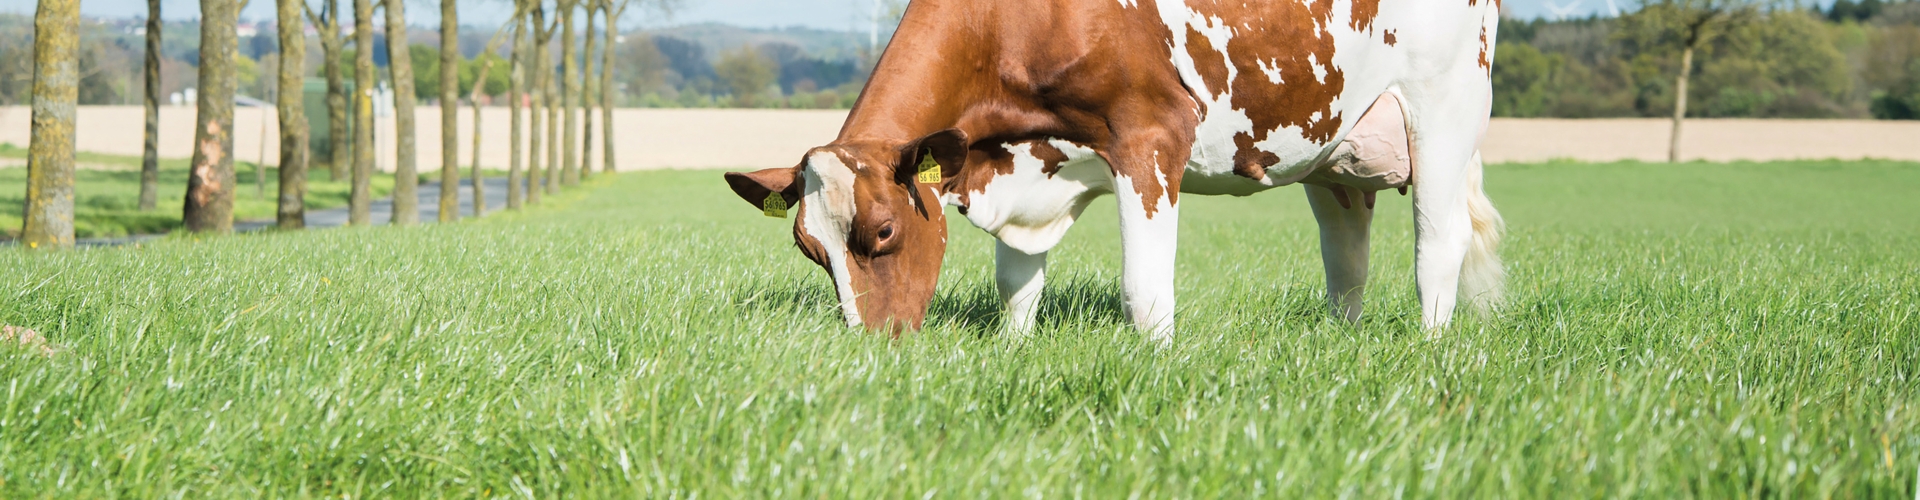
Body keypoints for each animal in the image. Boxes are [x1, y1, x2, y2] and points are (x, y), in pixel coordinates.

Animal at [725, 0, 1506, 341]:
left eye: (883, 231)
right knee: (1347, 257)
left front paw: (1157, 366)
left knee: (1437, 246)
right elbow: (1016, 282)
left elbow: (1145, 291)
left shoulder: (1150, 135)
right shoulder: (1027, 162)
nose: (872, 349)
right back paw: (1343, 339)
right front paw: (1015, 348)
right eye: (810, 249)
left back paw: (1431, 348)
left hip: (1443, 106)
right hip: (1334, 145)